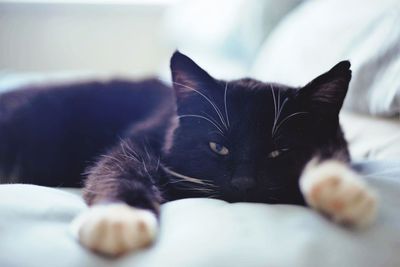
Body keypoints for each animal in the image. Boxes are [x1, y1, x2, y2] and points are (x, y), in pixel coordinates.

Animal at [0, 52, 376, 258]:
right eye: (217, 147)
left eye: (279, 151)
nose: (244, 183)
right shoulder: (143, 135)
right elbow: (118, 166)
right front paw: (118, 219)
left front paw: (341, 190)